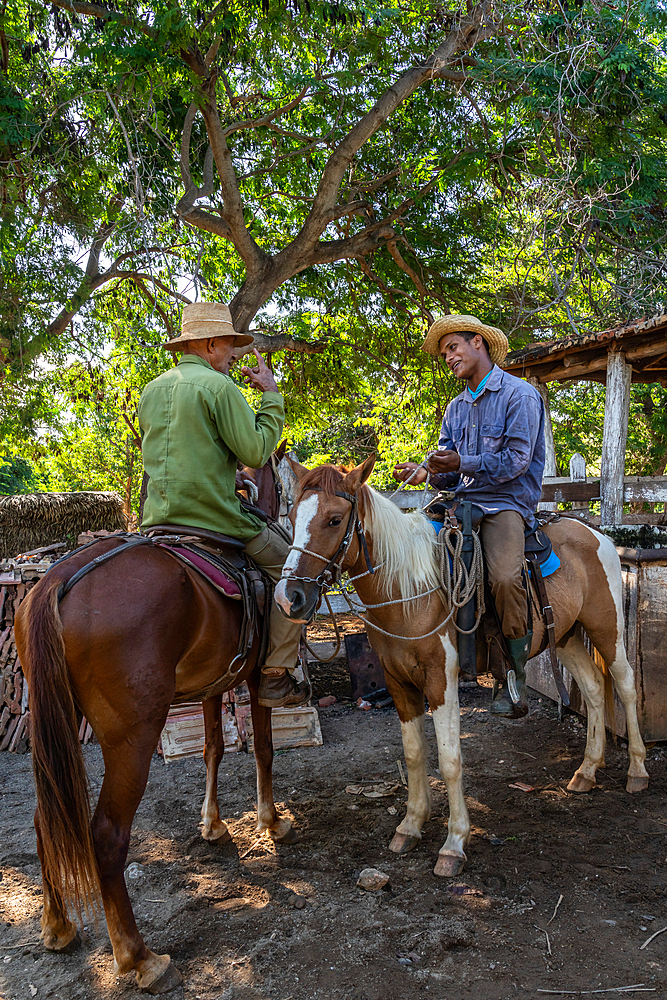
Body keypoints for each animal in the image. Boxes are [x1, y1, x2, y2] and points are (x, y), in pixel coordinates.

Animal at [12, 452, 294, 992]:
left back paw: (57, 926)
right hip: (132, 738)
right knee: (105, 836)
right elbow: (264, 749)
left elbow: (213, 748)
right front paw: (270, 821)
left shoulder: (215, 684)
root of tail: (58, 580)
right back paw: (140, 958)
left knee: (43, 820)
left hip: (56, 726)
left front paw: (213, 825)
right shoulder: (253, 679)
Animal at [274, 458, 648, 880]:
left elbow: (450, 760)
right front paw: (410, 827)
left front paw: (454, 843)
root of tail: (597, 534)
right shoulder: (398, 682)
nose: (289, 598)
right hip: (566, 636)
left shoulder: (441, 680)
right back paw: (586, 771)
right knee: (594, 688)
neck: (407, 588)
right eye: (292, 516)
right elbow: (414, 754)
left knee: (626, 684)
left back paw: (637, 771)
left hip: (607, 627)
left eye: (335, 519)